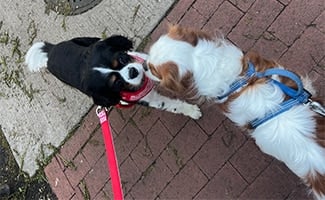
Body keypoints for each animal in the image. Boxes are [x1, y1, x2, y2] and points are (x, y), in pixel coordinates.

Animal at [24, 35, 200, 119]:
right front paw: (192, 111)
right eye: (117, 83)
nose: (133, 72)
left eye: (121, 59)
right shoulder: (149, 99)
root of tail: (50, 51)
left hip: (89, 40)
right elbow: (171, 105)